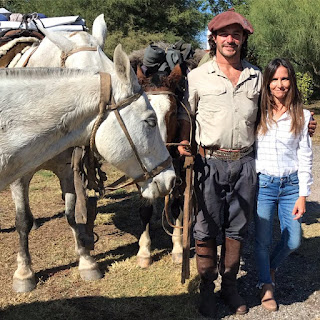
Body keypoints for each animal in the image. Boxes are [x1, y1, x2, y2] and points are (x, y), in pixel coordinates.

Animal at [0, 47, 175, 292]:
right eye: (150, 121)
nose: (171, 178)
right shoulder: (20, 175)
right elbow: (22, 221)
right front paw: (24, 273)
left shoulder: (67, 170)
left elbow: (72, 215)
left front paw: (86, 261)